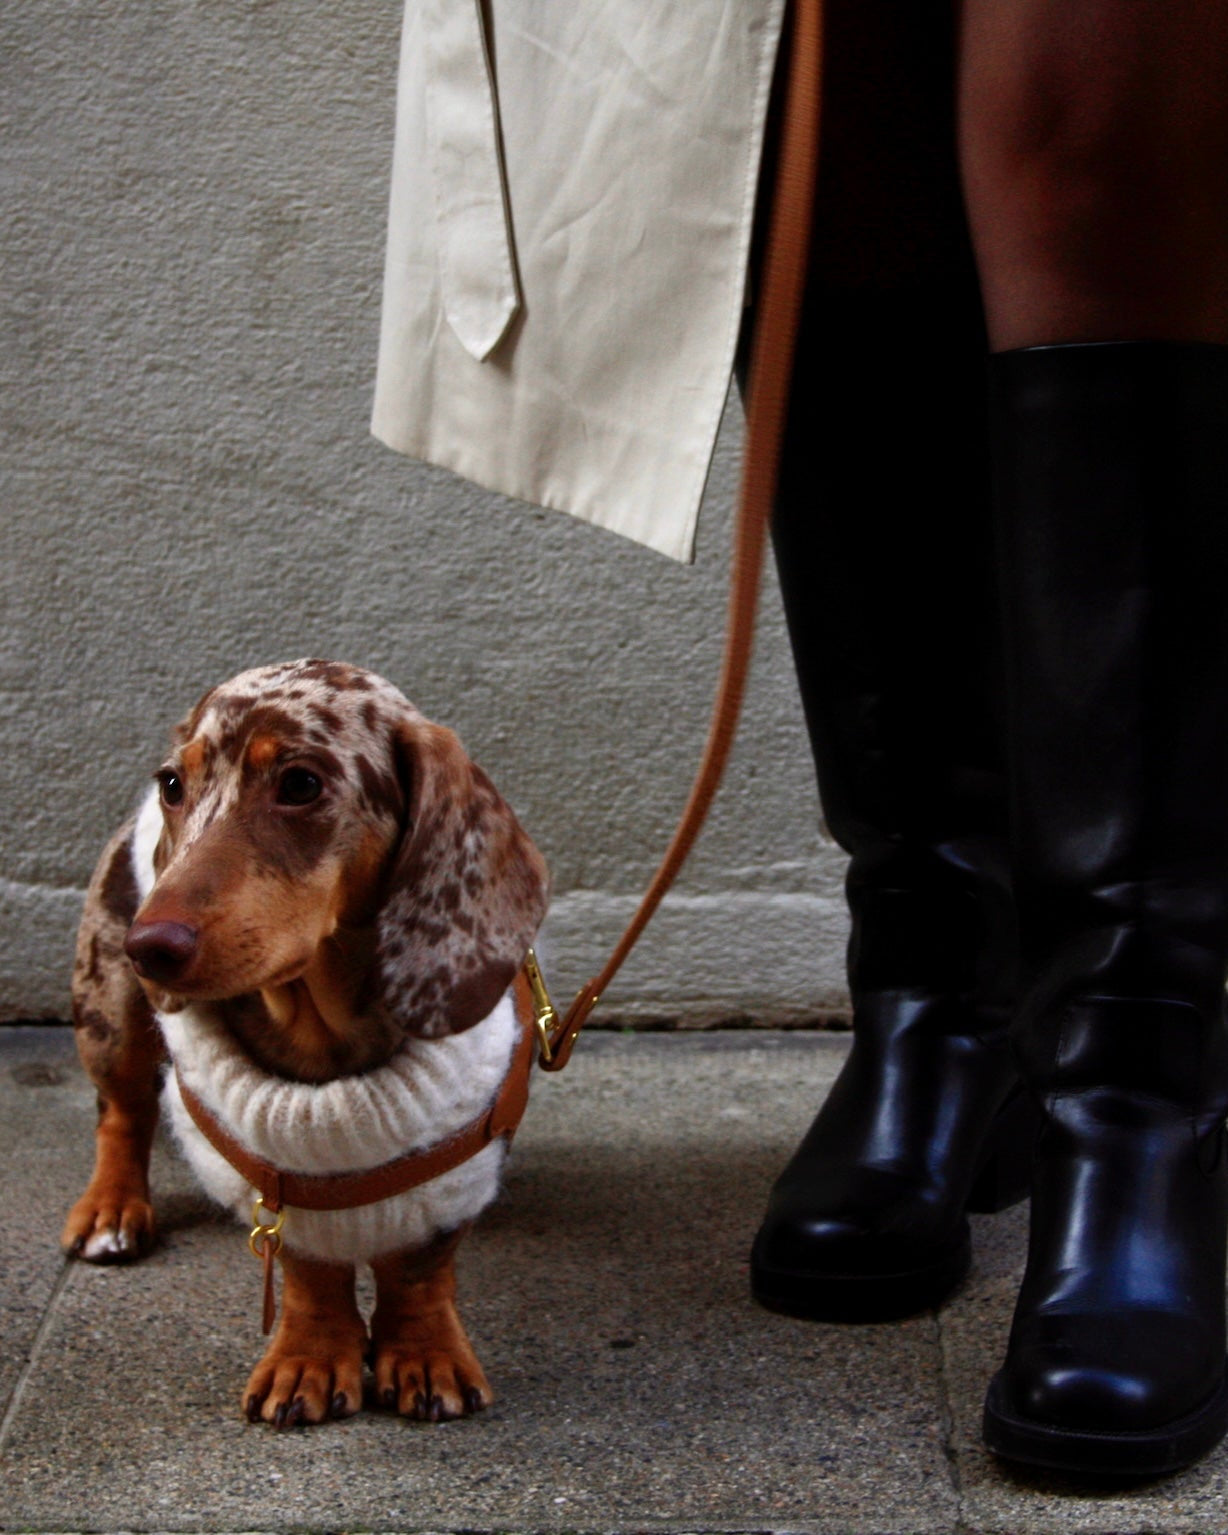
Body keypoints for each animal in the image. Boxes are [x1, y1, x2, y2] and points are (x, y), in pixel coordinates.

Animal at [62, 659, 550, 1427]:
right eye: (173, 784)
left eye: (299, 784)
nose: (150, 947)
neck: (325, 1036)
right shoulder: (274, 1170)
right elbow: (310, 1268)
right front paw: (310, 1359)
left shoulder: (457, 1161)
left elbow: (419, 1267)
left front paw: (425, 1353)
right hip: (107, 1006)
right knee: (123, 1113)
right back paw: (111, 1208)